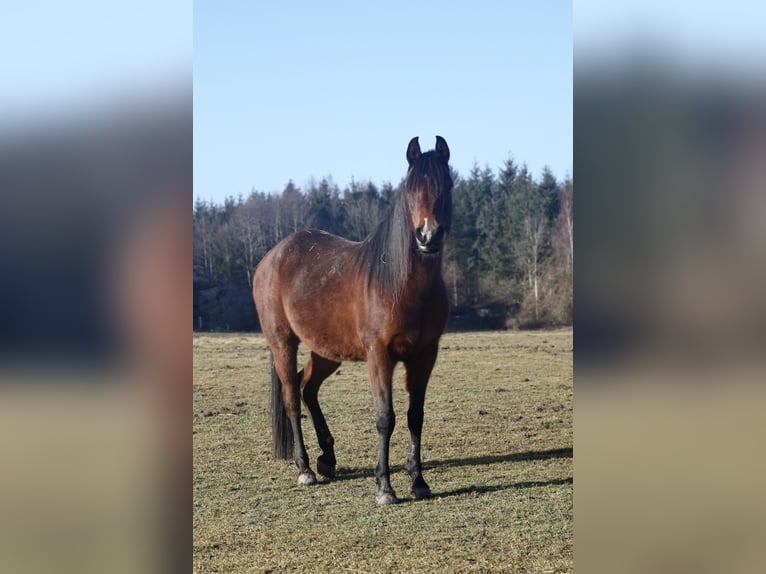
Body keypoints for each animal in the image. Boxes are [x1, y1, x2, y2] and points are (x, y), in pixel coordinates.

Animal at [253, 136, 453, 505]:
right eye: (410, 188)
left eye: (447, 185)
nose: (427, 236)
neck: (399, 283)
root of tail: (271, 258)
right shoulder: (380, 355)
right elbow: (385, 417)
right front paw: (385, 488)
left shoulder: (425, 355)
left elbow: (415, 416)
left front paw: (418, 481)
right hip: (283, 343)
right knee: (292, 398)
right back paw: (305, 469)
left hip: (326, 351)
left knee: (307, 387)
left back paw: (327, 459)